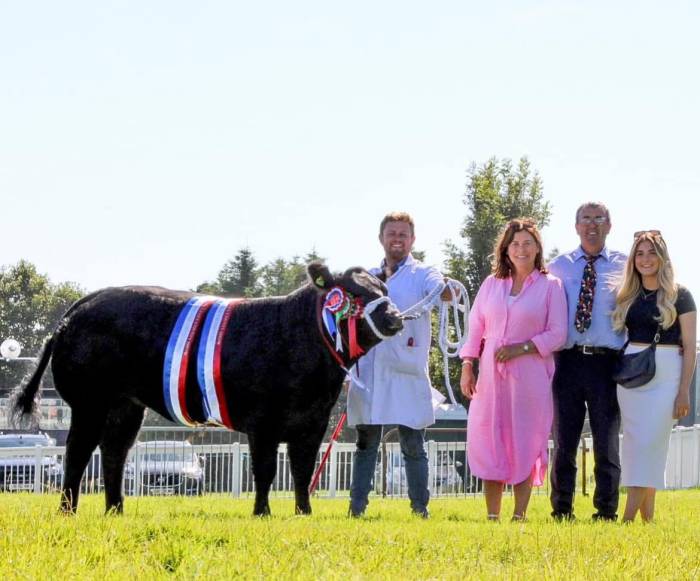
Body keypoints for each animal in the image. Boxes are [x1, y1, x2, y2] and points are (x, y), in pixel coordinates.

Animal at [13, 262, 402, 512]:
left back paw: (115, 510)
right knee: (78, 451)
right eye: (353, 292)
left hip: (126, 404)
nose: (395, 317)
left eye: (383, 290)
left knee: (114, 451)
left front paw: (303, 514)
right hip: (89, 400)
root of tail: (79, 307)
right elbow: (265, 470)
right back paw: (68, 511)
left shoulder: (314, 419)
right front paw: (262, 514)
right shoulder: (264, 420)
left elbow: (303, 469)